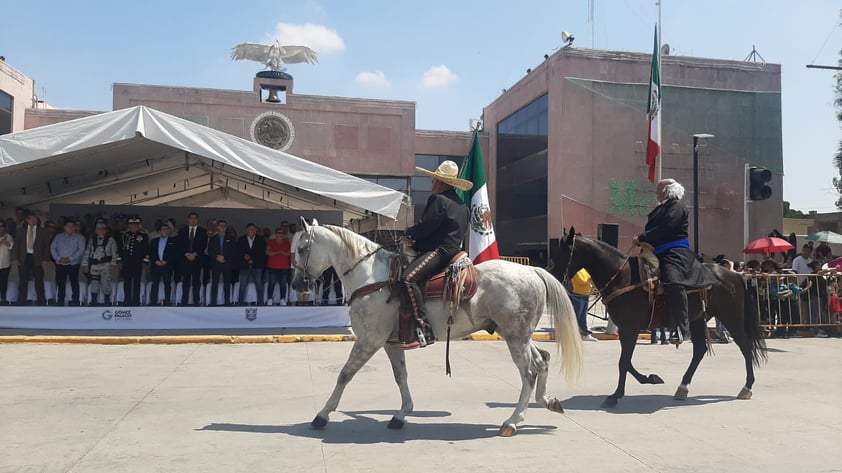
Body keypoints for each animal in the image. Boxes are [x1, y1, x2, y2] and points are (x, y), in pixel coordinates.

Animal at [292, 219, 580, 436]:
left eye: (302, 248)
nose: (297, 284)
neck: (372, 277)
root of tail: (532, 271)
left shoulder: (370, 340)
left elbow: (345, 374)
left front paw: (322, 415)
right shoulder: (389, 342)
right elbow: (401, 376)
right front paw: (401, 414)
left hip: (515, 337)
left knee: (529, 372)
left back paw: (512, 421)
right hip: (518, 334)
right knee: (542, 359)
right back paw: (548, 401)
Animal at [548, 227, 764, 408]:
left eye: (564, 252)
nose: (554, 277)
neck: (621, 277)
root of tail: (736, 276)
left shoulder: (629, 328)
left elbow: (623, 362)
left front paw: (615, 396)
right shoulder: (627, 329)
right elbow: (627, 361)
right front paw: (650, 378)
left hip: (731, 317)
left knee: (745, 346)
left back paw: (747, 387)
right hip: (696, 320)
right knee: (700, 350)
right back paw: (683, 387)